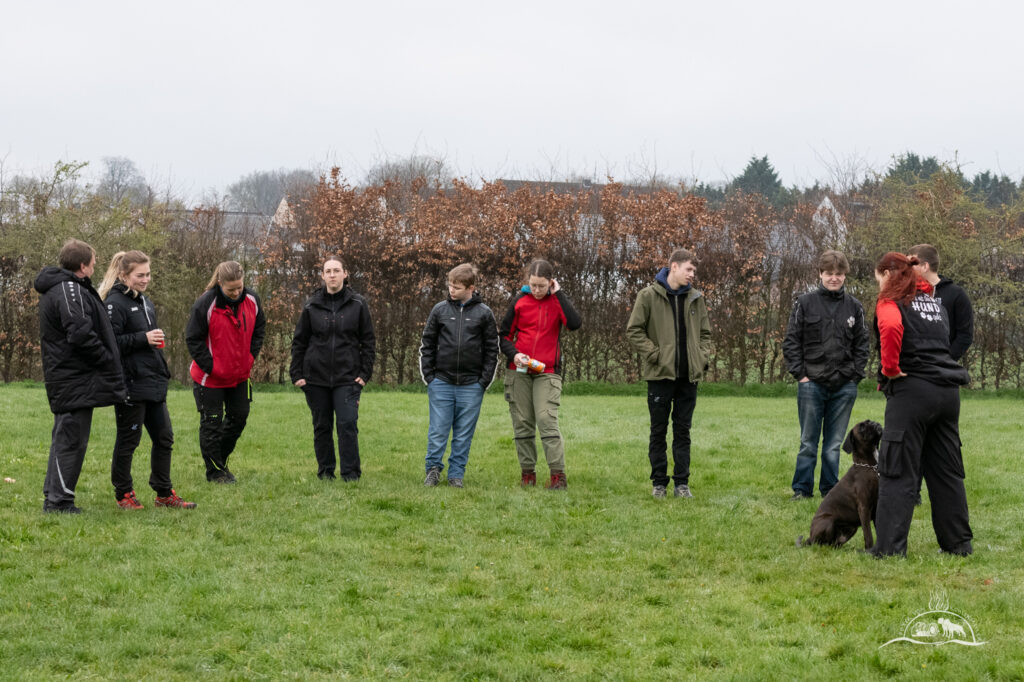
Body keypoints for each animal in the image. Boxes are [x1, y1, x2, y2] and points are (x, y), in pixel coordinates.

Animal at [794, 417, 884, 548]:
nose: (873, 423)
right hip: (828, 521)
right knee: (819, 543)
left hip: (850, 529)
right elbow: (868, 534)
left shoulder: (877, 507)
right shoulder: (864, 508)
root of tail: (809, 537)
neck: (869, 466)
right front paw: (869, 549)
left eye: (869, 421)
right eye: (862, 428)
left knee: (834, 544)